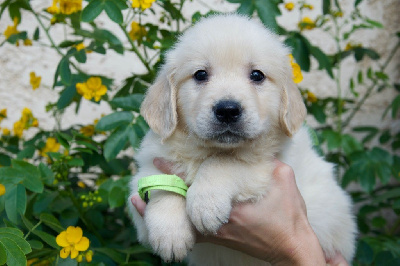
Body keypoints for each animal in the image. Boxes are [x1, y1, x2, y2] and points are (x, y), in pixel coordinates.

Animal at [129, 14, 356, 264]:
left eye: (257, 75)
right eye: (200, 74)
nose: (227, 110)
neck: (206, 150)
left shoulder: (267, 166)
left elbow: (225, 162)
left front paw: (205, 203)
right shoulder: (144, 174)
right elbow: (162, 184)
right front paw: (169, 233)